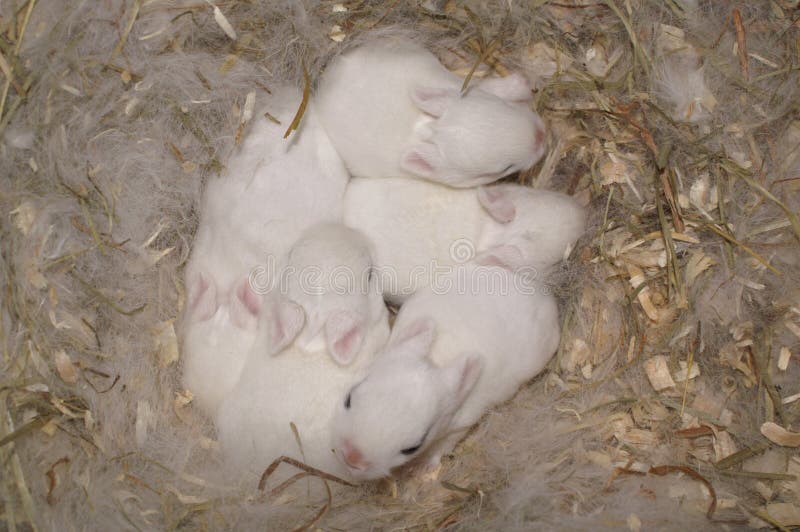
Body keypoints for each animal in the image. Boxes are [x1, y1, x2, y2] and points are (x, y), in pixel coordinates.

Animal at [316, 38, 548, 187]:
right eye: (505, 169)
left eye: (503, 107)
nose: (542, 136)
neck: (430, 127)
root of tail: (328, 77)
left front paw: (524, 83)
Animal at [328, 264, 560, 480]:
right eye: (348, 398)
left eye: (412, 448)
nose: (351, 457)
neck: (435, 360)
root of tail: (540, 293)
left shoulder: (459, 427)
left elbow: (442, 448)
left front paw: (423, 468)